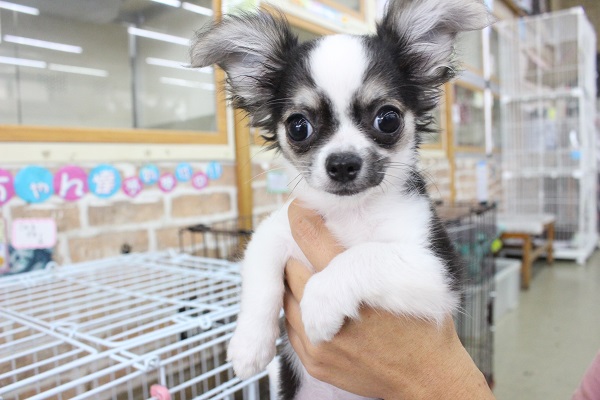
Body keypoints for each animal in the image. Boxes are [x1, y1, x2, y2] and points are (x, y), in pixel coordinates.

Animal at [191, 1, 492, 398]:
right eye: (298, 126)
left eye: (388, 119)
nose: (342, 163)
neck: (351, 211)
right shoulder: (273, 233)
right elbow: (260, 282)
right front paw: (248, 346)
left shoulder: (440, 272)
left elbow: (366, 255)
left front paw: (319, 302)